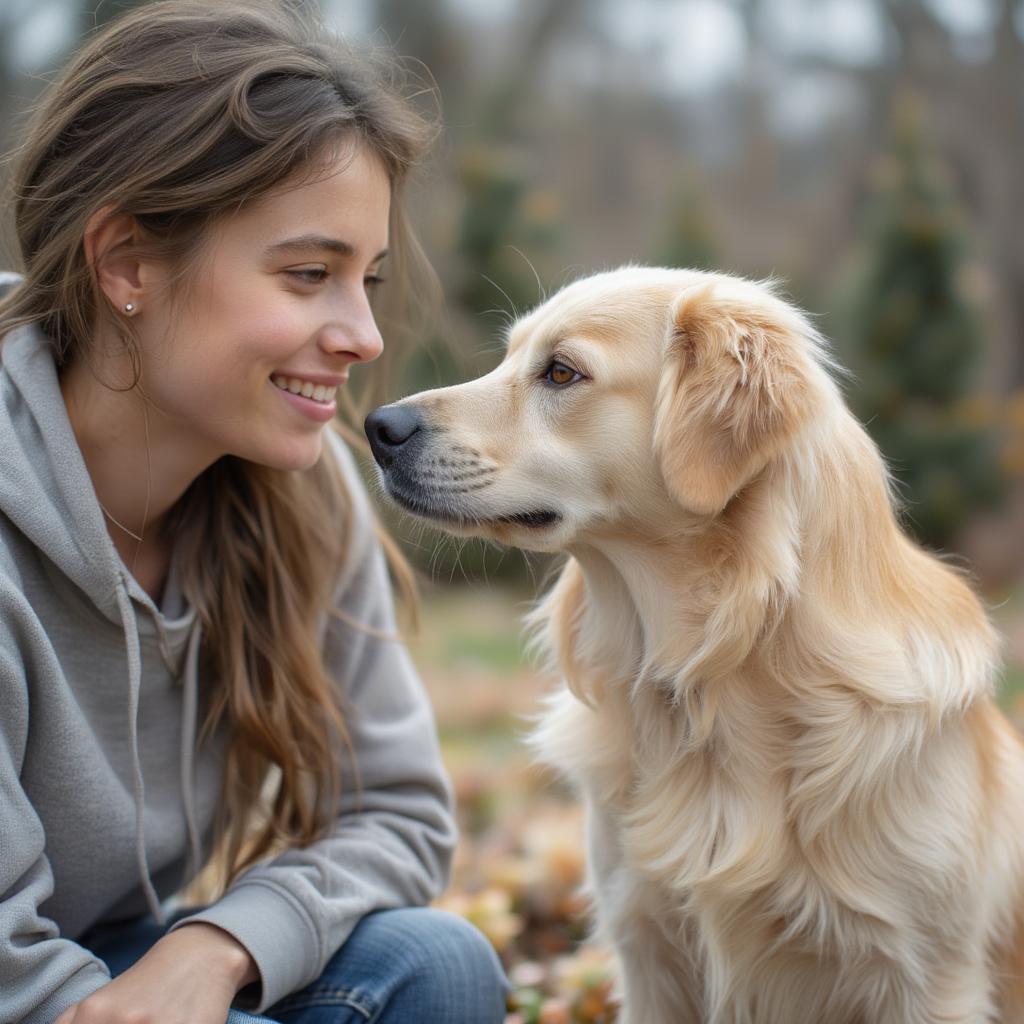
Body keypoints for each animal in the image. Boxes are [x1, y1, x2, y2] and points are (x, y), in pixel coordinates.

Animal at [362, 268, 1024, 1019]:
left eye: (561, 372)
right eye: (508, 358)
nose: (379, 428)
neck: (715, 677)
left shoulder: (929, 976)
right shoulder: (646, 946)